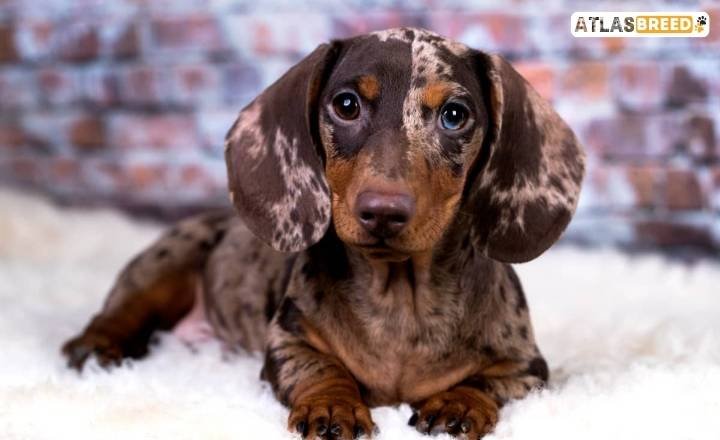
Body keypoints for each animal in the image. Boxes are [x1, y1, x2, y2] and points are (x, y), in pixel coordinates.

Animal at [62, 28, 584, 440]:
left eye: (455, 115)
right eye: (346, 105)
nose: (382, 212)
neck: (401, 298)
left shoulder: (528, 367)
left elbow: (490, 381)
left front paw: (458, 402)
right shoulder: (286, 342)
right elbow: (320, 365)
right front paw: (333, 404)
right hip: (163, 266)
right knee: (120, 313)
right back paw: (95, 346)